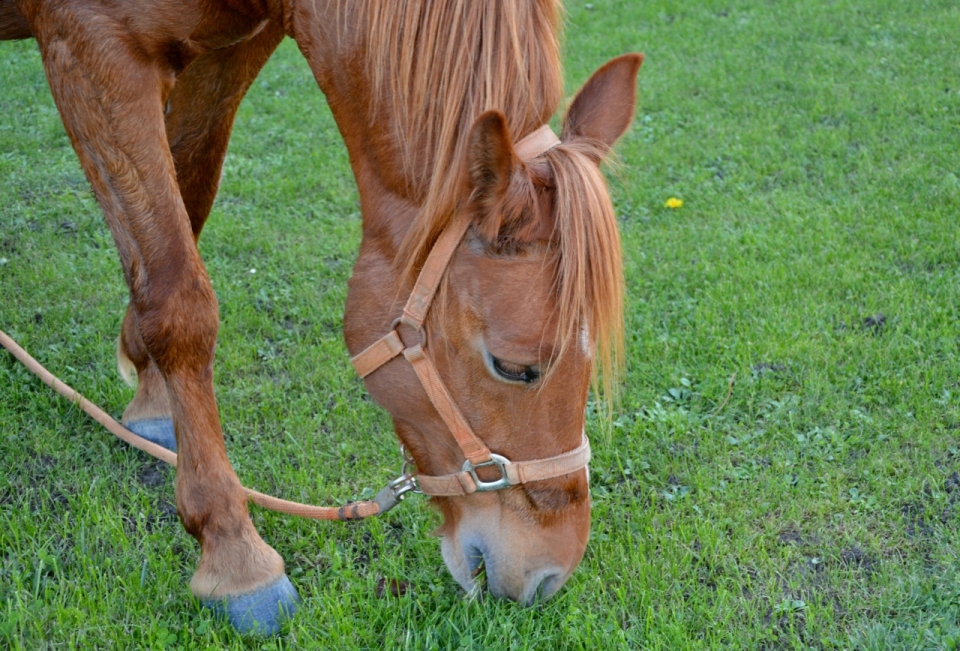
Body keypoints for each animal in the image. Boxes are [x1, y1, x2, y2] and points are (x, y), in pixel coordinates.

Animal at [3, 0, 644, 636]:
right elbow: (176, 296)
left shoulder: (227, 54)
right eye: (513, 367)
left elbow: (188, 201)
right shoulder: (91, 44)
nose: (551, 573)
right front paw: (235, 557)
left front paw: (152, 395)